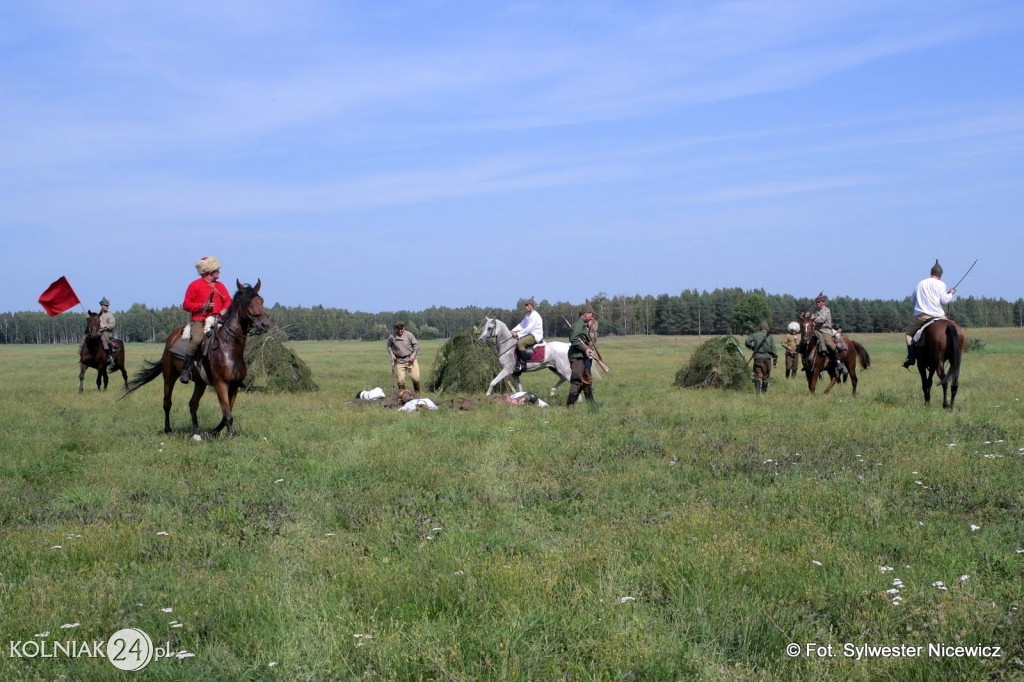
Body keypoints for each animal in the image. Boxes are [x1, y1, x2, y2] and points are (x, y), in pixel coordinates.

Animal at [123, 280, 270, 436]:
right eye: (248, 302)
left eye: (261, 300)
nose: (265, 324)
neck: (228, 348)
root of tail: (171, 338)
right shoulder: (221, 384)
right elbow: (228, 414)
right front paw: (230, 436)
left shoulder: (234, 386)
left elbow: (226, 414)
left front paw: (214, 432)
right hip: (169, 377)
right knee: (167, 402)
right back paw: (168, 429)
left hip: (200, 383)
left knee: (193, 404)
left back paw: (196, 431)